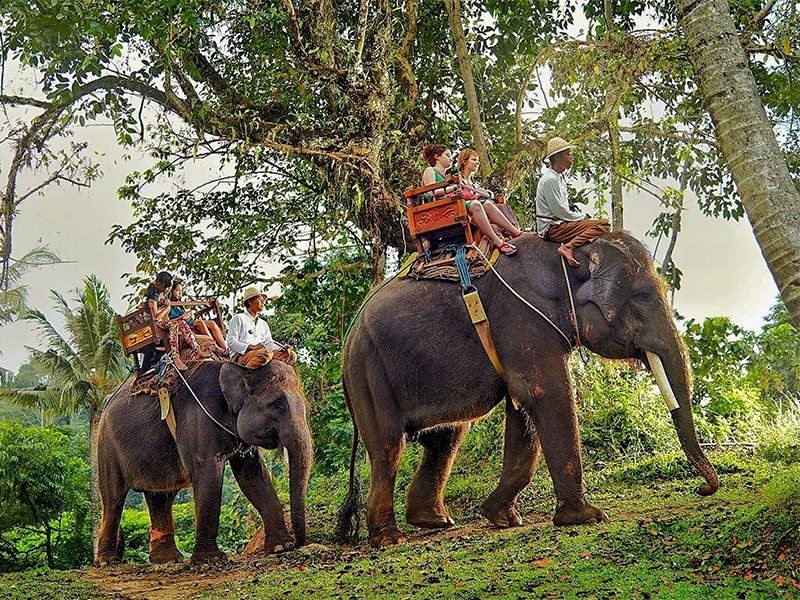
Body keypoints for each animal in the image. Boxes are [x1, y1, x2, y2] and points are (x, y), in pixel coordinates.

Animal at [94, 360, 313, 566]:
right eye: (277, 404)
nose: (298, 543)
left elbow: (252, 476)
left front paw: (281, 547)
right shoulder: (197, 418)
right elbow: (208, 472)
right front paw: (210, 558)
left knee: (160, 496)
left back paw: (168, 559)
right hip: (106, 446)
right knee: (113, 499)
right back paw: (107, 561)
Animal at [337, 232, 719, 548]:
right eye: (641, 297)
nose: (702, 489)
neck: (564, 257)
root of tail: (348, 340)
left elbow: (521, 408)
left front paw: (502, 518)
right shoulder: (521, 317)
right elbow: (545, 393)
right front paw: (587, 518)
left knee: (447, 437)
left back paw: (436, 522)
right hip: (368, 371)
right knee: (388, 448)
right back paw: (389, 539)